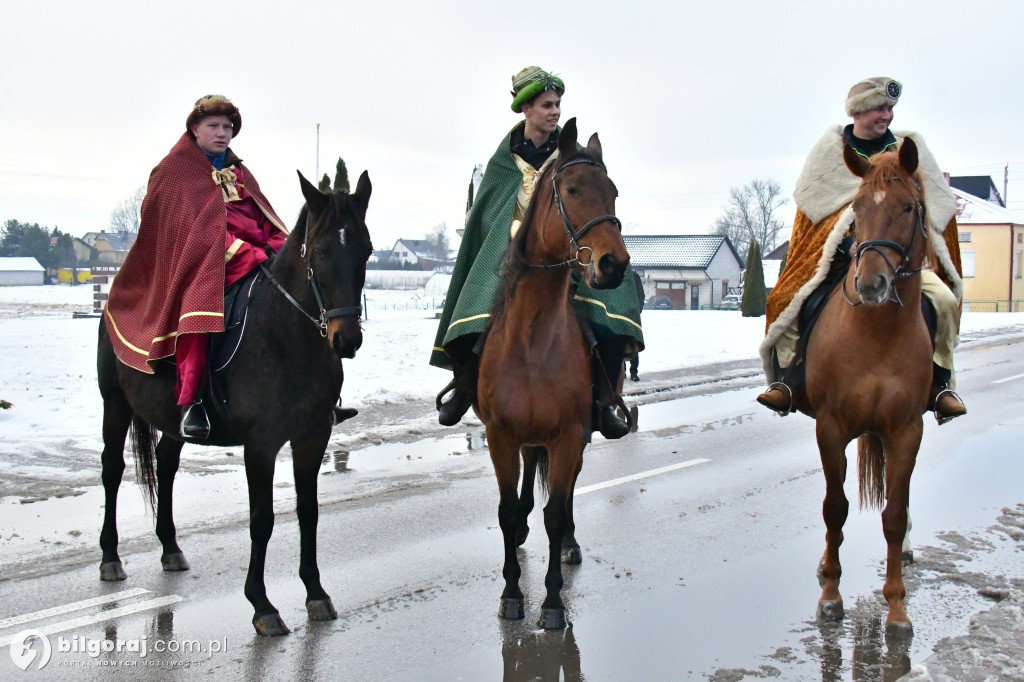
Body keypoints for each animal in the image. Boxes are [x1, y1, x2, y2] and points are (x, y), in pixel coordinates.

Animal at [96, 168, 372, 630]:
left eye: (366, 249)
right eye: (320, 250)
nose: (346, 339)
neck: (286, 340)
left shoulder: (312, 437)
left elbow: (309, 511)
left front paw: (315, 593)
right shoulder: (260, 445)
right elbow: (261, 520)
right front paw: (262, 605)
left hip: (171, 418)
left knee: (166, 465)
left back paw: (170, 547)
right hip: (114, 403)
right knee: (112, 471)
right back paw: (110, 557)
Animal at [475, 119, 626, 630]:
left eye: (613, 192)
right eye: (574, 189)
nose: (613, 264)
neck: (533, 343)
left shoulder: (567, 435)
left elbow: (556, 514)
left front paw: (554, 603)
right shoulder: (500, 435)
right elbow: (505, 511)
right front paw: (511, 594)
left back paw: (570, 545)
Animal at [802, 137, 937, 630]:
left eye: (908, 207)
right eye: (855, 209)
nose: (871, 284)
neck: (878, 335)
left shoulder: (907, 431)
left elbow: (894, 515)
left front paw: (896, 609)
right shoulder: (830, 427)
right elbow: (834, 508)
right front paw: (830, 596)